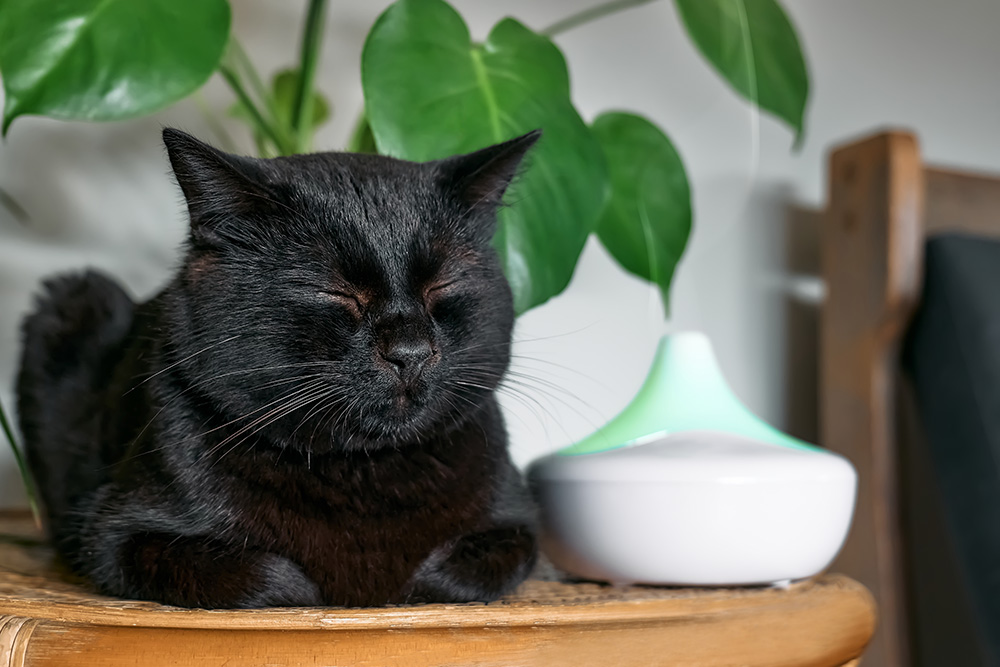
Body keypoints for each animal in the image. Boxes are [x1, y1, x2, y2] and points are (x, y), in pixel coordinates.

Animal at [15, 126, 544, 612]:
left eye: (443, 285)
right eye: (333, 291)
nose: (410, 351)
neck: (363, 471)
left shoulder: (517, 526)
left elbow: (451, 574)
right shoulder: (115, 535)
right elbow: (275, 581)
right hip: (79, 296)